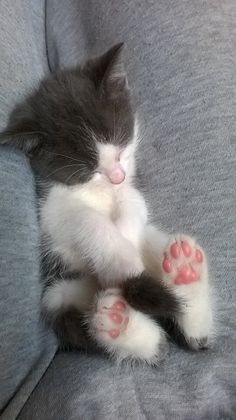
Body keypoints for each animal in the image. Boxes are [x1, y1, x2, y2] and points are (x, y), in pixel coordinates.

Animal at [0, 43, 213, 364]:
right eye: (88, 168)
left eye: (121, 145)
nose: (116, 176)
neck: (99, 192)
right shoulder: (52, 211)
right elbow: (87, 220)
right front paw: (122, 260)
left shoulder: (131, 185)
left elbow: (135, 202)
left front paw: (125, 232)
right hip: (56, 293)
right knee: (147, 343)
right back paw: (118, 319)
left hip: (153, 239)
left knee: (193, 334)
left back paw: (185, 272)